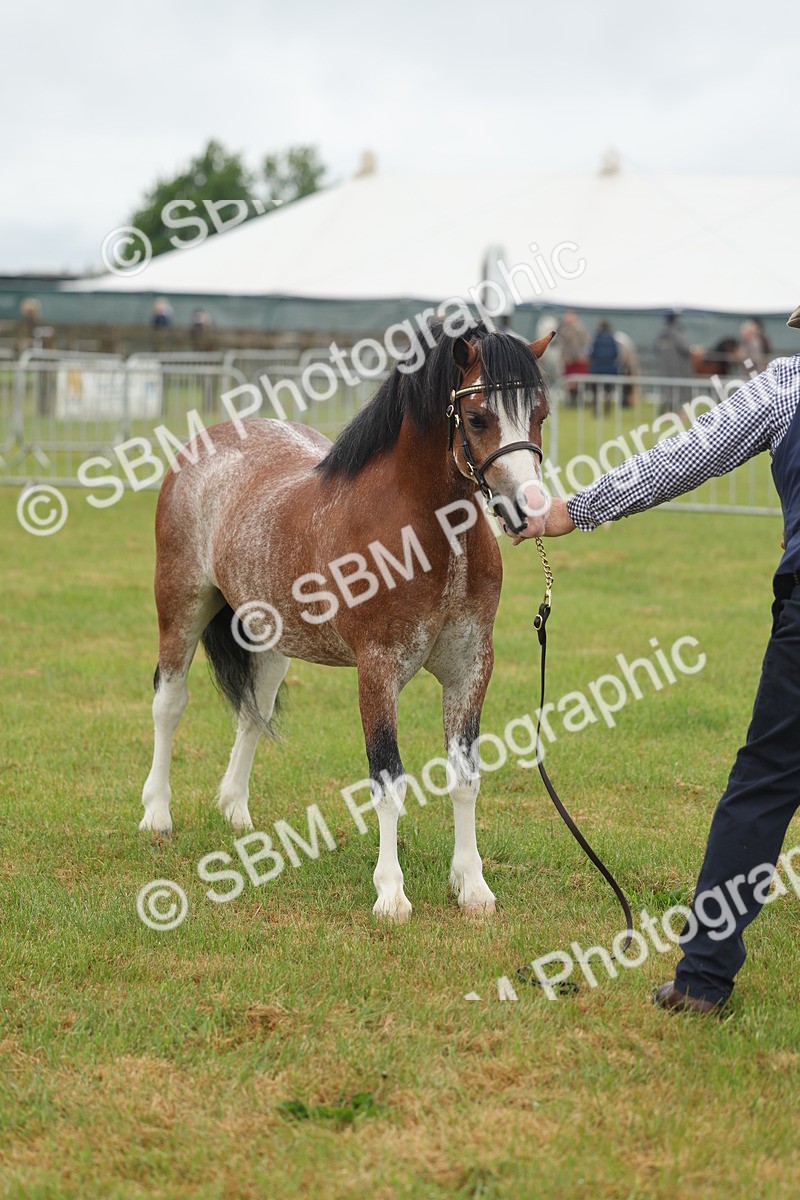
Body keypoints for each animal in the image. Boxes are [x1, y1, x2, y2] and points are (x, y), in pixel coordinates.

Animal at [140, 321, 555, 920]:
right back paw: (156, 813)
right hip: (181, 606)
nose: (531, 509)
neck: (422, 534)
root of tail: (205, 443)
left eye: (541, 412)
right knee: (169, 703)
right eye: (477, 417)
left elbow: (465, 778)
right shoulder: (378, 671)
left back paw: (237, 813)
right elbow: (388, 780)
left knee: (253, 712)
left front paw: (472, 887)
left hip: (272, 638)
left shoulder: (471, 669)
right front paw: (391, 894)